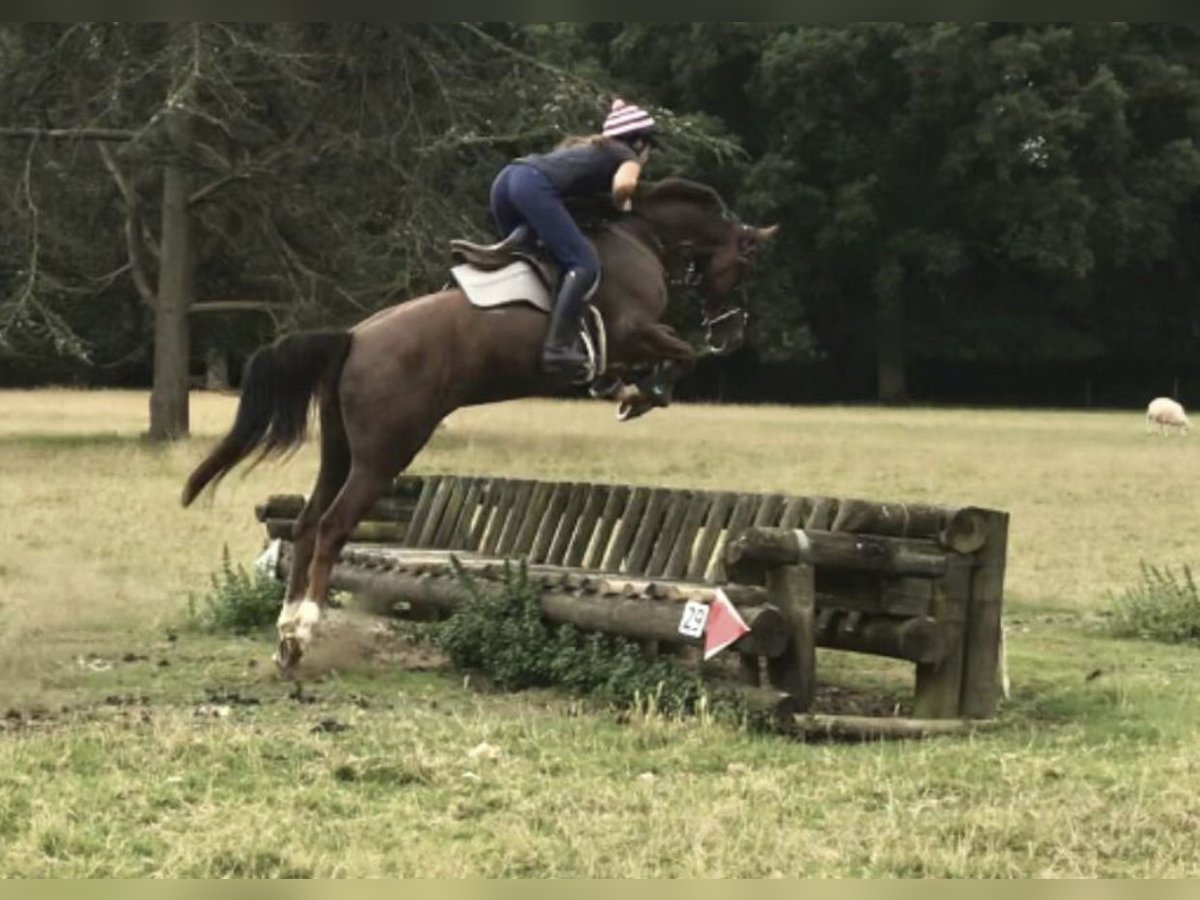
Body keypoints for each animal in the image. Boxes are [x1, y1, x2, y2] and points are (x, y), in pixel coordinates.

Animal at [181, 176, 772, 672]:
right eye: (744, 265)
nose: (730, 335)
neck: (641, 237)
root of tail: (353, 338)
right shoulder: (634, 331)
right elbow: (680, 354)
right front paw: (644, 394)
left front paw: (630, 391)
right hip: (385, 453)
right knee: (331, 527)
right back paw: (303, 631)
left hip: (341, 451)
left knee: (305, 525)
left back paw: (286, 636)